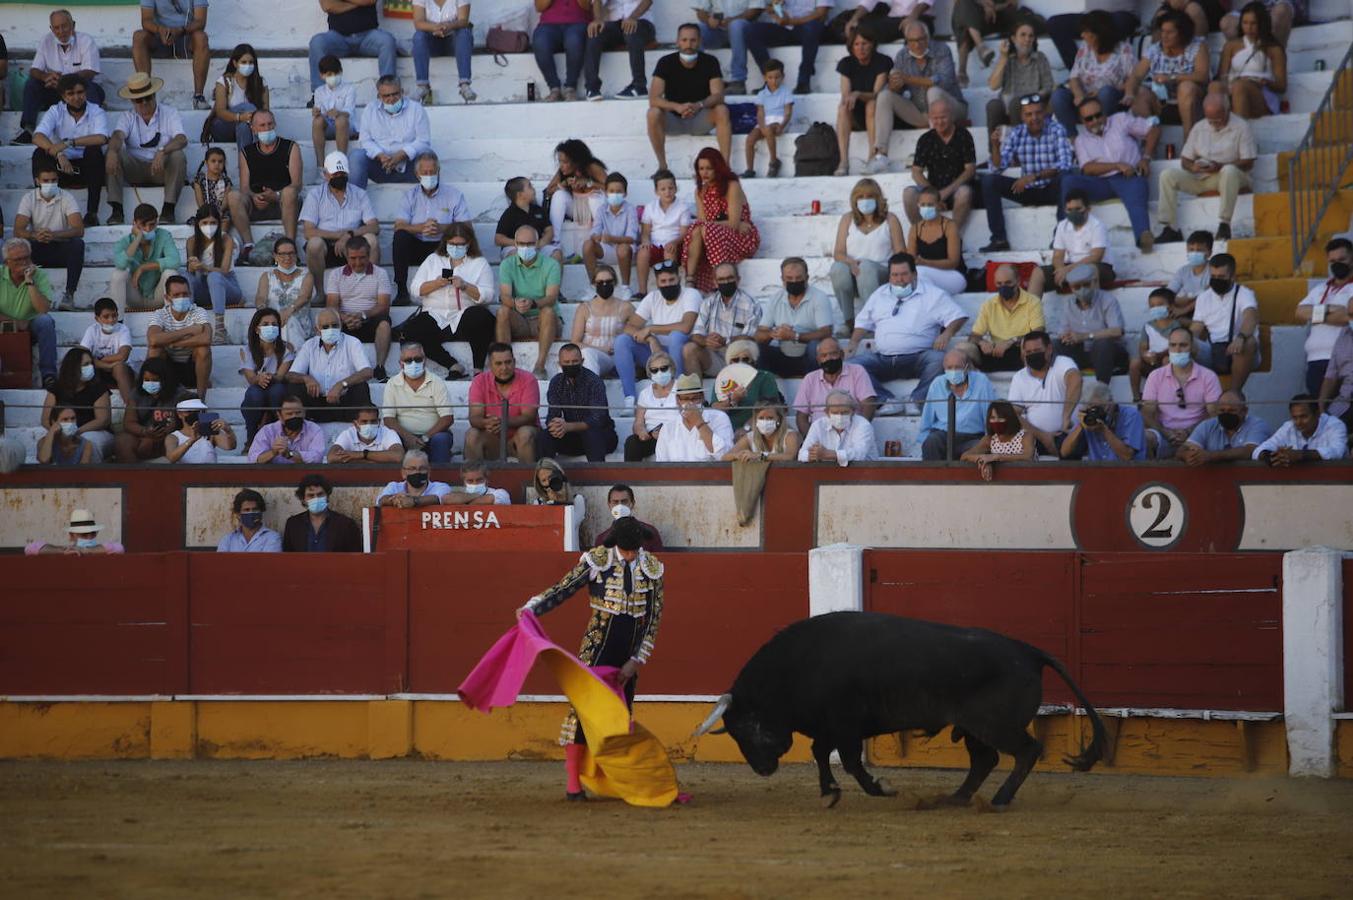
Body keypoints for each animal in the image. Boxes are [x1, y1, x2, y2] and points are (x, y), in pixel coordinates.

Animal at [698, 611, 1109, 806]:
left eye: (745, 728)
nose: (763, 770)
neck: (796, 666)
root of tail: (1029, 651)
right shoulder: (830, 727)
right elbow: (820, 753)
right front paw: (830, 791)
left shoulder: (845, 726)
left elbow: (848, 761)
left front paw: (882, 788)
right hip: (974, 728)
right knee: (985, 760)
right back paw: (957, 798)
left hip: (995, 725)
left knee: (1027, 751)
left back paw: (1000, 799)